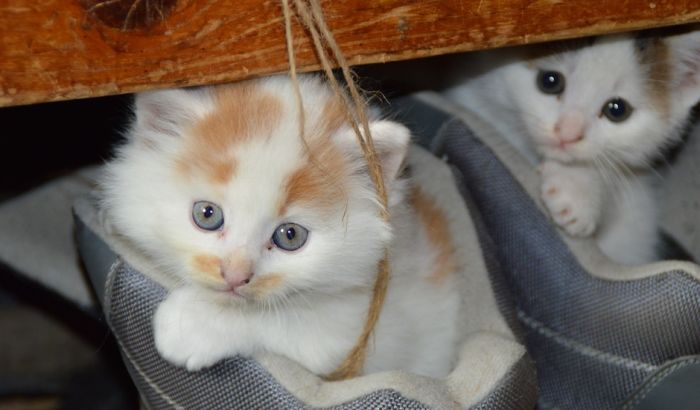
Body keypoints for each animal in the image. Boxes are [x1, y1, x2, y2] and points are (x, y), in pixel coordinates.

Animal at [101, 74, 464, 378]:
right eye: (207, 215)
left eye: (290, 236)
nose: (235, 276)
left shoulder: (366, 331)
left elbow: (287, 319)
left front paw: (191, 324)